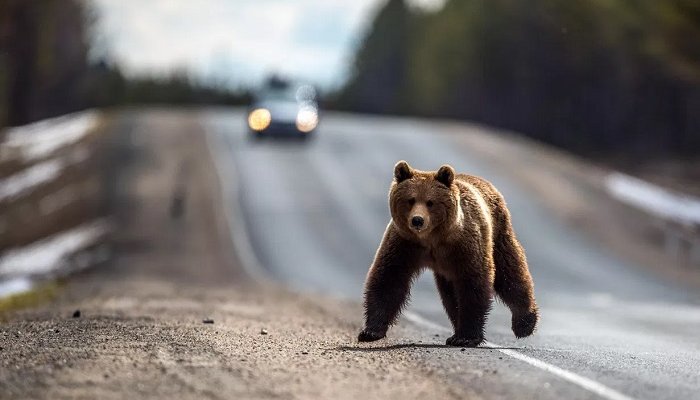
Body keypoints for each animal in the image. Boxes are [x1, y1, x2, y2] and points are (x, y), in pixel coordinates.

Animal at [358, 160, 539, 347]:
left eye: (430, 202)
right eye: (410, 200)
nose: (417, 220)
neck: (432, 239)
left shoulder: (465, 245)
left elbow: (474, 283)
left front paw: (468, 336)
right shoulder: (405, 243)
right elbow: (389, 278)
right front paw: (370, 331)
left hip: (498, 233)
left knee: (510, 272)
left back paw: (525, 323)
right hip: (447, 268)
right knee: (450, 295)